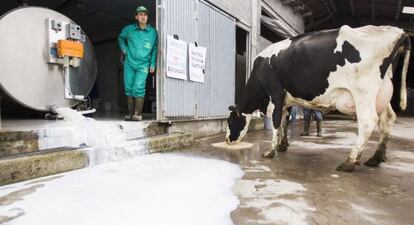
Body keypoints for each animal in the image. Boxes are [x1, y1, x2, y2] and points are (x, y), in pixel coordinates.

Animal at [226, 25, 410, 172]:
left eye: (230, 121)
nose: (227, 140)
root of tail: (398, 31)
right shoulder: (287, 100)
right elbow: (285, 120)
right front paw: (283, 144)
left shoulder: (276, 93)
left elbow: (277, 121)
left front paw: (271, 151)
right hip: (382, 93)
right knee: (387, 119)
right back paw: (376, 158)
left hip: (363, 91)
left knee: (368, 122)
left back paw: (349, 162)